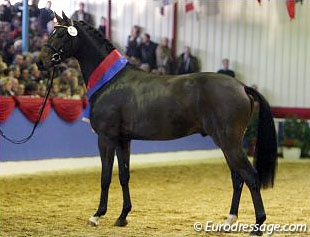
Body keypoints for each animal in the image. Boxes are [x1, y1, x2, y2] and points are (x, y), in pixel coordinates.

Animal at [37, 12, 278, 233]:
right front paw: (122, 216)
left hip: (229, 142)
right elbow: (124, 175)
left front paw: (97, 216)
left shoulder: (106, 138)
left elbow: (105, 177)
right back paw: (229, 220)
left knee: (250, 176)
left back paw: (258, 225)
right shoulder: (123, 140)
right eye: (51, 32)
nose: (41, 62)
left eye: (61, 34)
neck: (111, 82)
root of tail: (242, 87)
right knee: (238, 178)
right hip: (227, 143)